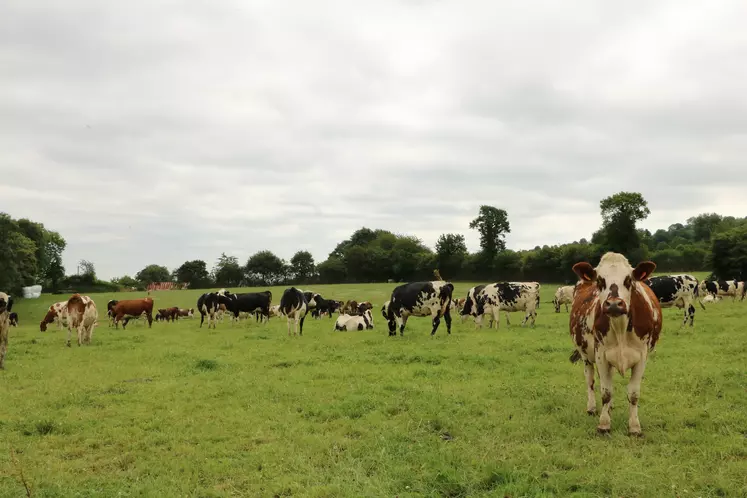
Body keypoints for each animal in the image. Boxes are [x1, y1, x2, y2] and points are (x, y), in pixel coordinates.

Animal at [568, 253, 664, 436]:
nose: (613, 304)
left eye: (628, 279)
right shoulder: (601, 354)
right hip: (586, 356)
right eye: (599, 280)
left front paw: (634, 426)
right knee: (591, 380)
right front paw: (604, 424)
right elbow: (606, 392)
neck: (620, 327)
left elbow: (633, 394)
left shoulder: (642, 357)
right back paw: (592, 408)